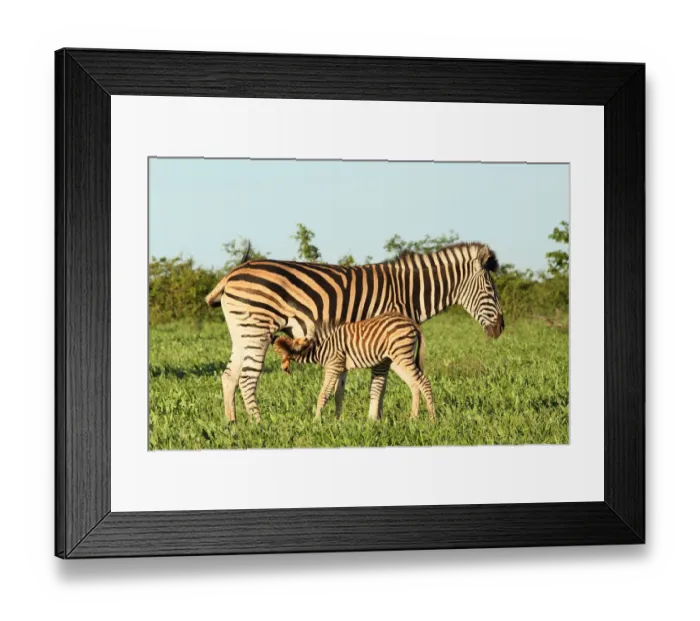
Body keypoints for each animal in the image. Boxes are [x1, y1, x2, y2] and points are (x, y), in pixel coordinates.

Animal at [271, 312, 436, 421]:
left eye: (277, 352)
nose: (284, 371)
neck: (321, 347)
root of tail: (410, 321)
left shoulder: (333, 366)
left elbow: (323, 394)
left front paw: (316, 421)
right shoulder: (341, 369)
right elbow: (338, 395)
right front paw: (337, 421)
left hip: (402, 356)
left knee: (424, 382)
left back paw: (432, 419)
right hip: (396, 360)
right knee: (414, 384)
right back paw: (413, 419)